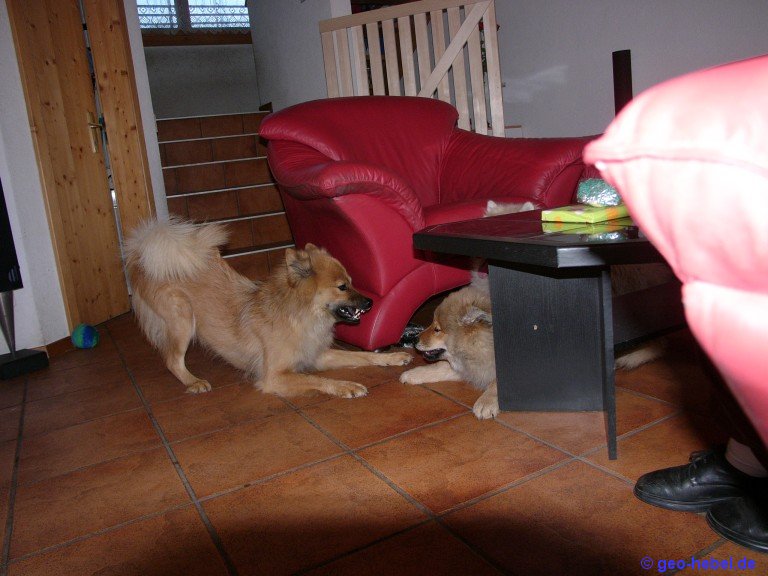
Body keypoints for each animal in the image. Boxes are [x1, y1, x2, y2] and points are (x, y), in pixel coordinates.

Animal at [124, 218, 412, 398]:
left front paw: (393, 357)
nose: (370, 302)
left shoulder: (317, 355)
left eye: (352, 282)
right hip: (182, 317)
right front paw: (347, 386)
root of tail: (143, 258)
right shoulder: (275, 375)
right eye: (342, 287)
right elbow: (316, 380)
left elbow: (362, 356)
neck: (301, 316)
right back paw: (193, 381)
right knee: (172, 360)